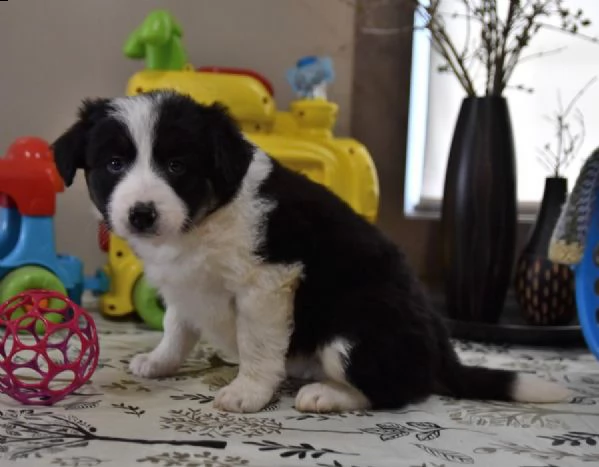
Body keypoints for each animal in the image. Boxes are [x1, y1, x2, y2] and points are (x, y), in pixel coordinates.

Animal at [50, 91, 568, 414]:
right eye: (114, 163)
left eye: (177, 166)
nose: (141, 214)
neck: (204, 220)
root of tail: (443, 350)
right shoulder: (185, 282)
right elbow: (178, 326)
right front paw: (159, 362)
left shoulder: (267, 283)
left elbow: (258, 345)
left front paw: (248, 393)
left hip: (354, 329)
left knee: (400, 390)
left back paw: (327, 395)